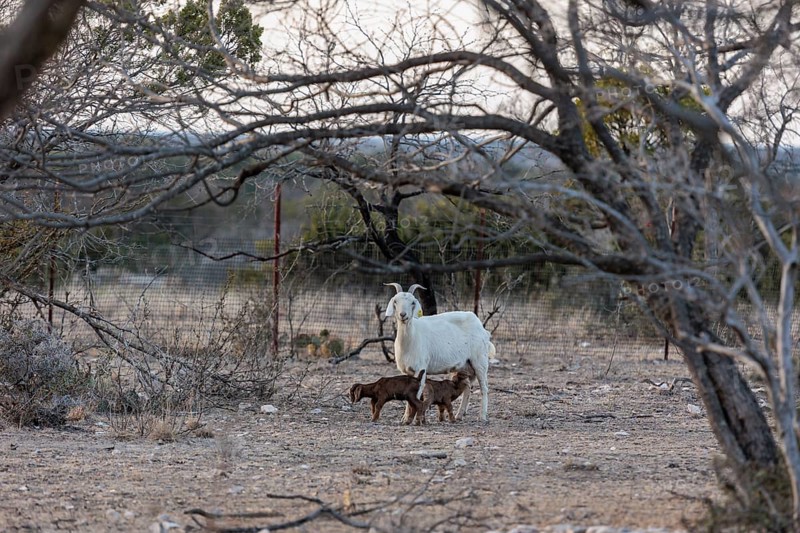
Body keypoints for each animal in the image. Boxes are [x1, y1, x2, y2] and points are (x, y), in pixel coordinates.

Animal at [384, 283, 493, 422]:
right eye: (395, 301)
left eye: (413, 302)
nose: (403, 315)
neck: (412, 336)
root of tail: (482, 328)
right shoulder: (407, 371)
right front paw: (405, 418)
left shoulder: (420, 369)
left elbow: (416, 395)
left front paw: (412, 418)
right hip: (465, 365)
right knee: (467, 387)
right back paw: (459, 414)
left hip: (480, 361)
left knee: (484, 388)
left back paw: (482, 416)